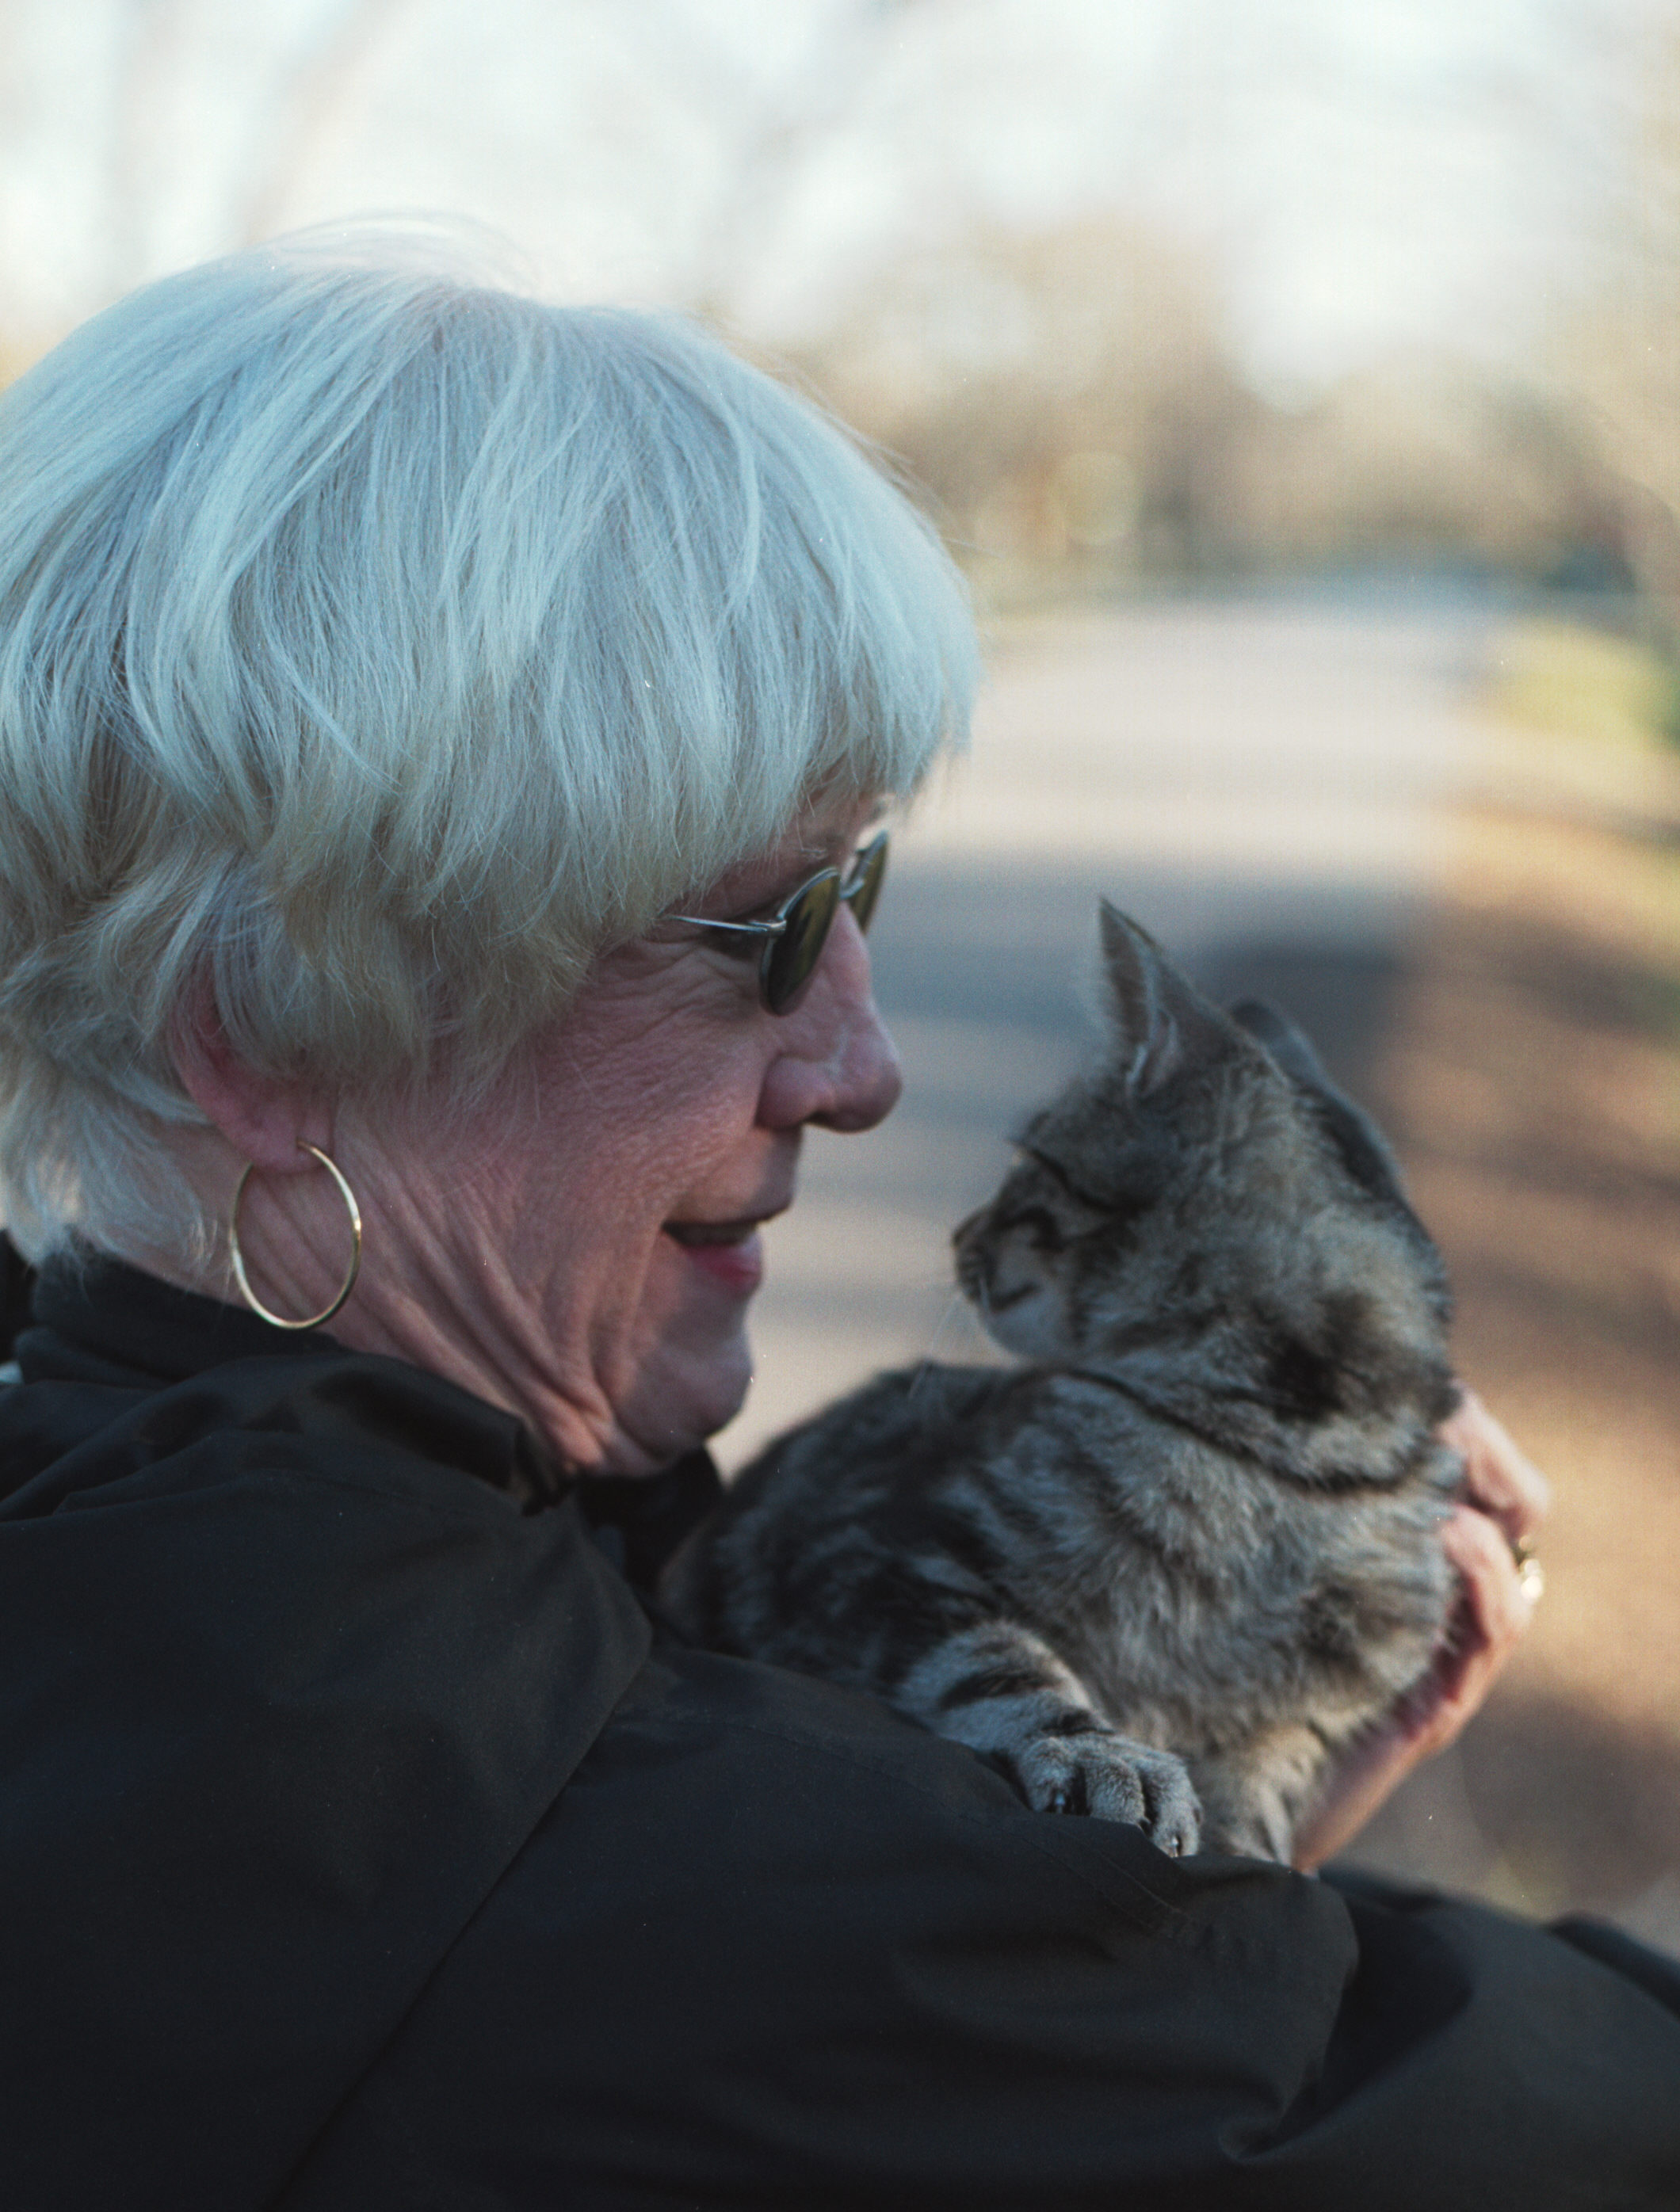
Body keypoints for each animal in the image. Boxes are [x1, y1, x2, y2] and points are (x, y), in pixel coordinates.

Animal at [663, 906, 1469, 1858]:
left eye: (1030, 1158)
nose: (958, 1232)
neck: (1290, 1460)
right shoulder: (873, 1549)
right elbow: (1000, 1665)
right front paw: (1100, 1753)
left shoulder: (1304, 1717)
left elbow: (1266, 1788)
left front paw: (1248, 1845)